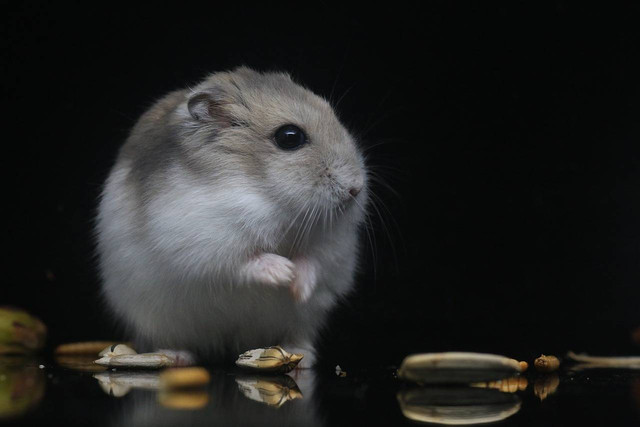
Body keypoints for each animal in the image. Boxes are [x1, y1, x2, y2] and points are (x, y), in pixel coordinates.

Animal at [96, 66, 368, 367]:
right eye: (290, 137)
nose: (356, 188)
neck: (268, 196)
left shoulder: (334, 246)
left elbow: (315, 260)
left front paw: (298, 286)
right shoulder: (204, 242)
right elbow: (244, 261)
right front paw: (284, 272)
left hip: (304, 319)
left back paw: (302, 357)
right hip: (154, 316)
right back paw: (175, 356)